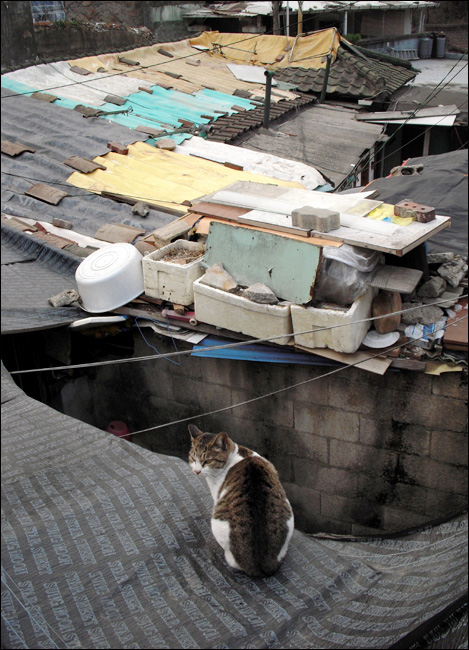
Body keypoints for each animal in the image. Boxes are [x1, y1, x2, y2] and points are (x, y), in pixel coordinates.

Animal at [188, 424, 294, 578]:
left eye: (207, 461)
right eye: (192, 458)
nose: (197, 471)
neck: (237, 454)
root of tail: (260, 564)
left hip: (217, 523)